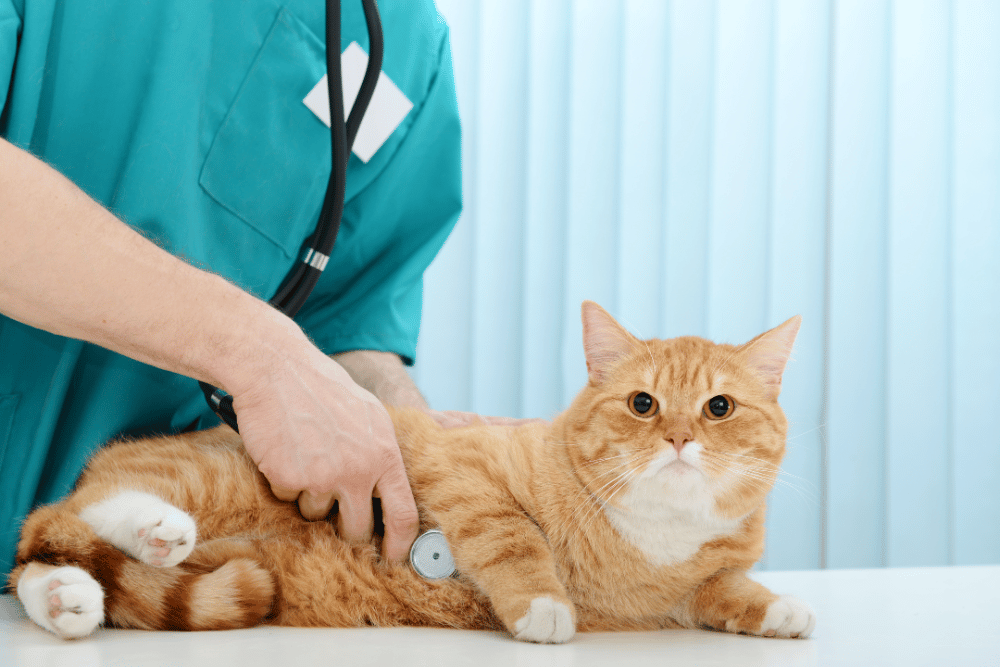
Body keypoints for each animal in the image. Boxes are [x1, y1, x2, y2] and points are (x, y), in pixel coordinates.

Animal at [7, 302, 816, 640]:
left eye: (718, 407)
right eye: (643, 403)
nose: (678, 437)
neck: (652, 537)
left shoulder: (692, 585)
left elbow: (727, 590)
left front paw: (780, 609)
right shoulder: (465, 476)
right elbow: (513, 540)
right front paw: (544, 606)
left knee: (57, 562)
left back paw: (70, 601)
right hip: (205, 480)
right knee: (59, 518)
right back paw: (151, 527)